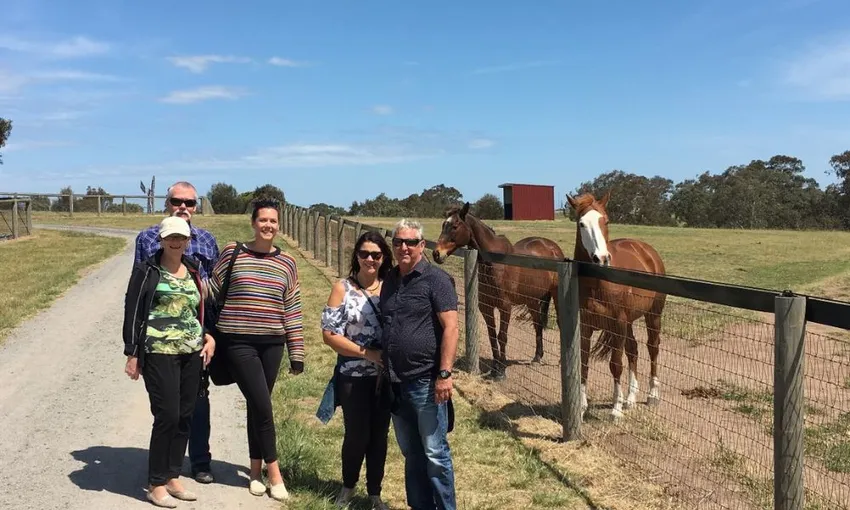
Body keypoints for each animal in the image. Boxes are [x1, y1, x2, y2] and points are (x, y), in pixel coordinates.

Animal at [432, 202, 565, 380]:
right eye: (443, 225)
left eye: (454, 226)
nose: (436, 254)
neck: (495, 264)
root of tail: (552, 247)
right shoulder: (486, 307)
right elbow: (492, 336)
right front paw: (495, 367)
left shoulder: (505, 307)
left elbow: (502, 337)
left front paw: (501, 370)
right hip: (531, 299)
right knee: (537, 323)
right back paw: (537, 357)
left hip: (556, 295)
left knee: (559, 322)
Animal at [566, 190, 667, 421]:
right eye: (581, 223)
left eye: (606, 220)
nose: (601, 258)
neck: (598, 282)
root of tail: (647, 250)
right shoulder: (585, 326)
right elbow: (584, 363)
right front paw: (582, 407)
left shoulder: (617, 324)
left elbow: (616, 365)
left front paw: (616, 409)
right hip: (629, 321)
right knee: (633, 350)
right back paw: (630, 398)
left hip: (652, 315)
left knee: (652, 347)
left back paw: (652, 395)